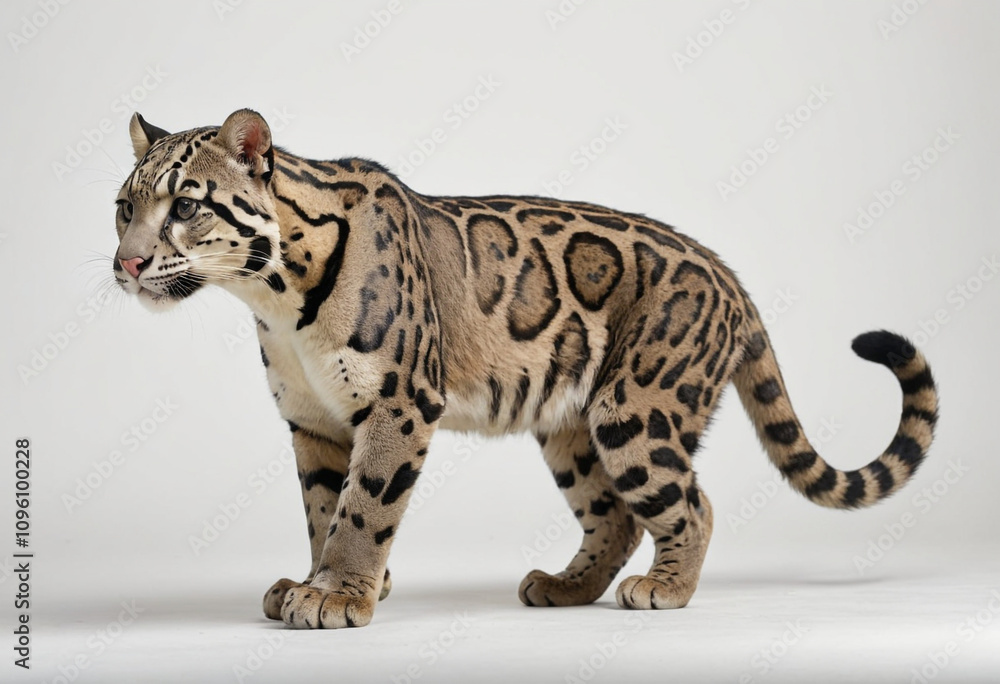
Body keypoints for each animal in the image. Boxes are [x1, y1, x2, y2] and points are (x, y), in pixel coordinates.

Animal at [111, 109, 939, 629]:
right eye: (124, 206)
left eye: (185, 205)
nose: (128, 262)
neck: (274, 295)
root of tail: (729, 275)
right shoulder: (311, 418)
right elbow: (322, 509)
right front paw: (320, 582)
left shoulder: (398, 402)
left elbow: (364, 506)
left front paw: (340, 593)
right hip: (572, 428)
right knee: (615, 517)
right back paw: (567, 586)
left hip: (636, 411)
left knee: (692, 506)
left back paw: (664, 589)